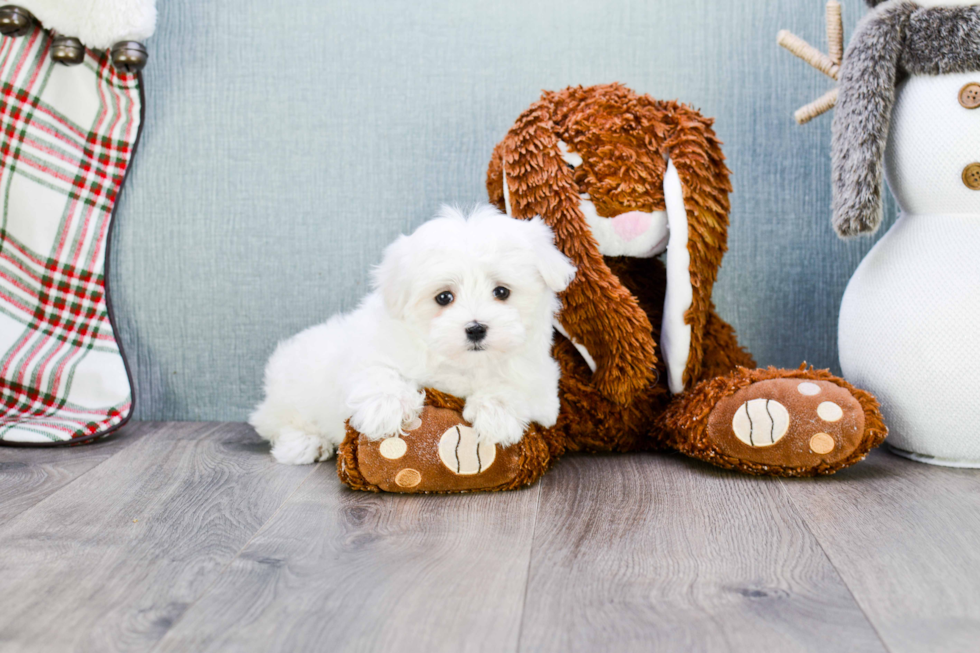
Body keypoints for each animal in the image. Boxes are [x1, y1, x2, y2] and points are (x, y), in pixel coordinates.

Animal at [249, 204, 580, 464]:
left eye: (502, 292)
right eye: (444, 298)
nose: (475, 328)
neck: (462, 364)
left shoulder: (542, 383)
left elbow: (514, 386)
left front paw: (496, 413)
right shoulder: (370, 349)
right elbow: (376, 370)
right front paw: (386, 407)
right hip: (292, 388)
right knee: (277, 422)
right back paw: (306, 444)